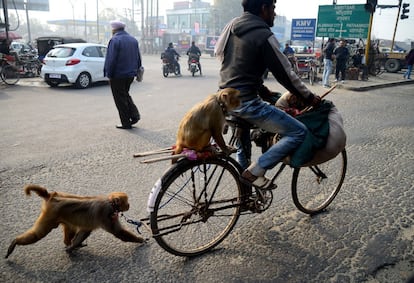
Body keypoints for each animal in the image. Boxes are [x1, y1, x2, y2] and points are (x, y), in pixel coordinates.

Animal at [5, 184, 145, 260]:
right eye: (126, 202)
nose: (129, 205)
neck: (110, 203)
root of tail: (52, 196)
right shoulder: (106, 214)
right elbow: (118, 232)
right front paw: (140, 240)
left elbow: (85, 231)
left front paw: (72, 247)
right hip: (49, 216)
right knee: (38, 234)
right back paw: (15, 242)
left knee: (70, 230)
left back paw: (70, 244)